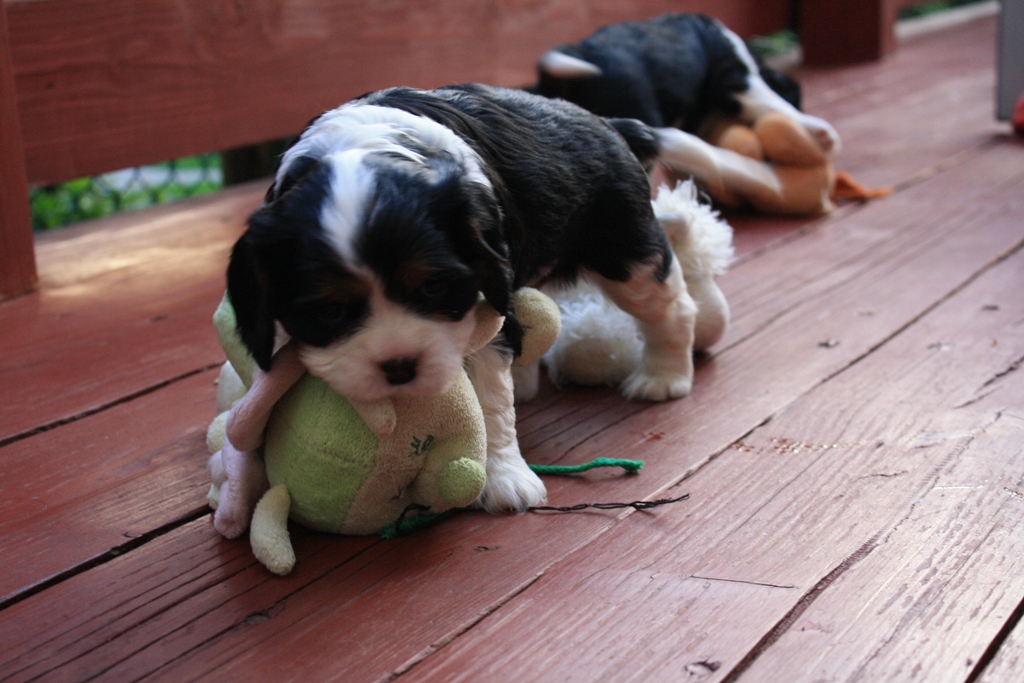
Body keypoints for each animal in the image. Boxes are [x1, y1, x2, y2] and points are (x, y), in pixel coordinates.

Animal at [226, 84, 699, 513]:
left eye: (433, 287)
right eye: (330, 311)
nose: (400, 367)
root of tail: (606, 122)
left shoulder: (490, 297)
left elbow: (490, 398)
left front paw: (504, 477)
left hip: (626, 251)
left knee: (671, 307)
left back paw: (664, 375)